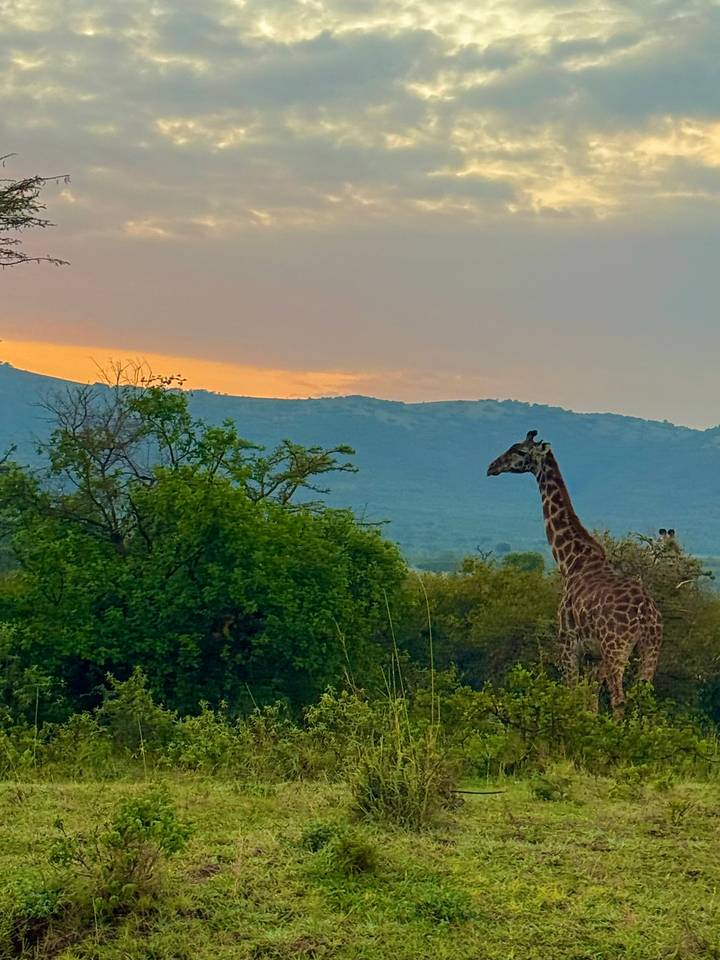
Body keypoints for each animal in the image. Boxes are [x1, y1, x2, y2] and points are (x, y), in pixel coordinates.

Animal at [486, 430, 662, 716]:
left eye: (520, 451)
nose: (492, 467)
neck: (571, 561)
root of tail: (646, 614)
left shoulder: (568, 641)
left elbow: (570, 693)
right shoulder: (593, 654)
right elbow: (588, 702)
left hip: (616, 645)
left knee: (619, 698)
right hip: (651, 646)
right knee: (643, 696)